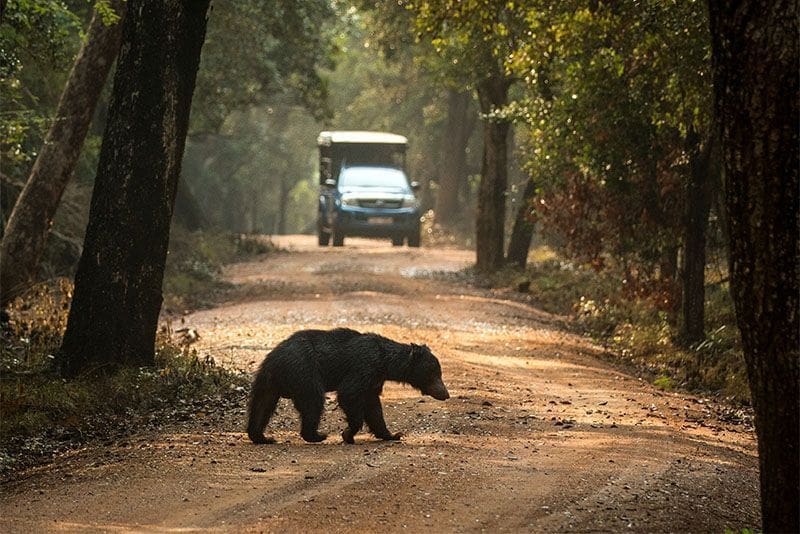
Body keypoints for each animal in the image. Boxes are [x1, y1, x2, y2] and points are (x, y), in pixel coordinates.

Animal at [246, 328, 449, 444]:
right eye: (435, 373)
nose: (446, 394)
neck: (385, 364)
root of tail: (274, 359)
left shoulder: (374, 380)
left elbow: (374, 408)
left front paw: (392, 434)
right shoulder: (364, 367)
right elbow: (349, 393)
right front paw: (347, 433)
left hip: (268, 381)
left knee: (261, 405)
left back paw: (262, 437)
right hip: (305, 370)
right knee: (313, 401)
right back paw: (316, 435)